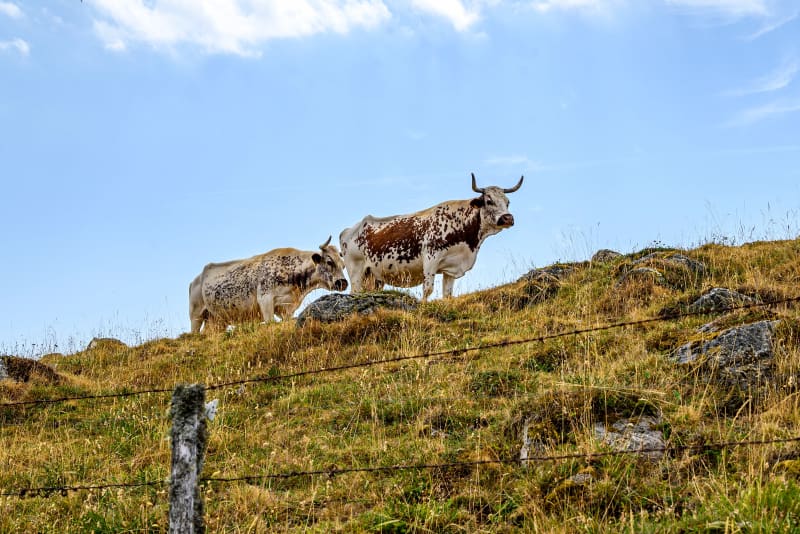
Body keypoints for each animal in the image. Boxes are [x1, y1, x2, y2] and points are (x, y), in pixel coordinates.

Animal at [189, 237, 348, 332]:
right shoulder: (265, 299)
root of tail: (196, 279)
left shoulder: (287, 308)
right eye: (329, 261)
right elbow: (269, 321)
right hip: (196, 314)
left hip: (216, 319)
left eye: (343, 265)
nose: (343, 282)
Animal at [339, 173, 523, 302]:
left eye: (507, 202)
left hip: (373, 276)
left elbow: (447, 294)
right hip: (356, 271)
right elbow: (427, 289)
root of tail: (349, 230)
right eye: (489, 201)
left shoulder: (451, 268)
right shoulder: (430, 259)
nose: (508, 218)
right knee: (355, 291)